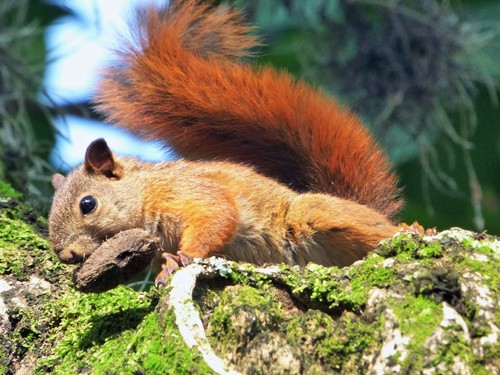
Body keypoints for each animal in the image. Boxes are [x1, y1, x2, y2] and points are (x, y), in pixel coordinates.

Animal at [47, 0, 402, 288]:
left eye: (88, 204)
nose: (66, 255)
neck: (146, 190)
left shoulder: (187, 192)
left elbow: (215, 216)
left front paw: (183, 256)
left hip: (312, 214)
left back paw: (409, 229)